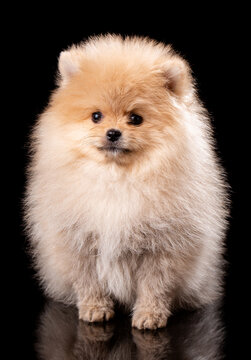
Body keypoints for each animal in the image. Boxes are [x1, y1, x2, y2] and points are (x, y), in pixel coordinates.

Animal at [24, 33, 228, 330]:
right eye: (96, 116)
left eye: (135, 119)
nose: (113, 133)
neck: (117, 179)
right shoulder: (78, 241)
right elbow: (87, 281)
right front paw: (95, 308)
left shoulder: (163, 246)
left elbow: (155, 285)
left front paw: (150, 315)